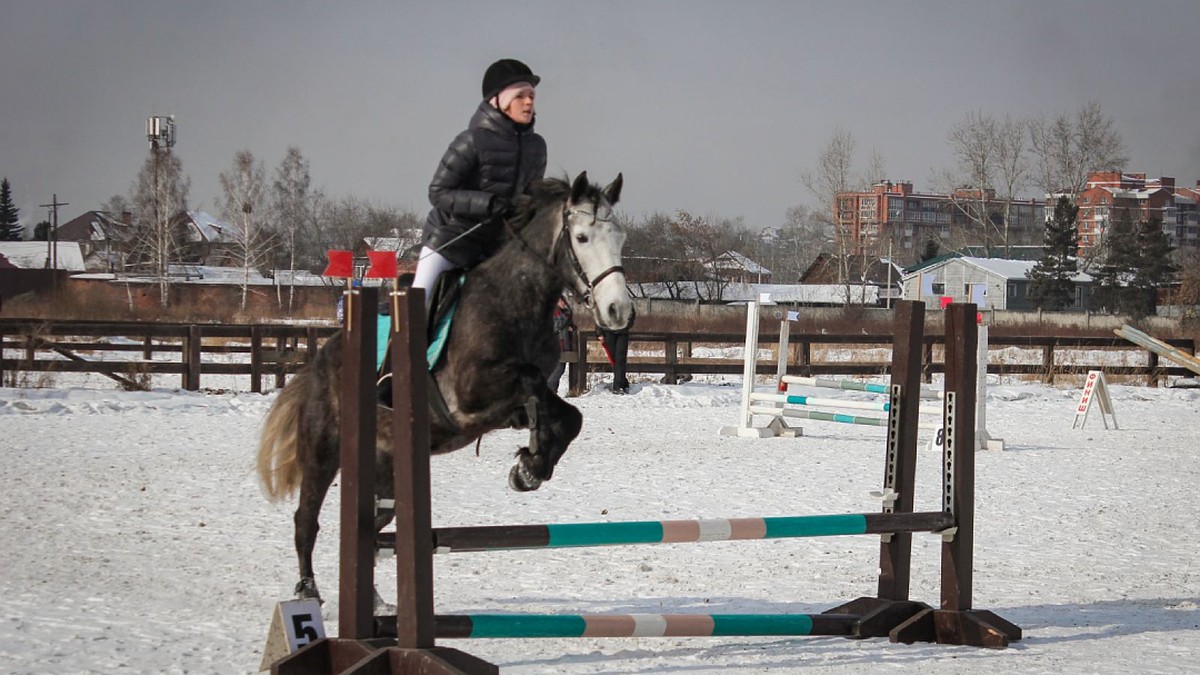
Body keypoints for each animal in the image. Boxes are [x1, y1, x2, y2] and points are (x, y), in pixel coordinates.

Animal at [256, 169, 633, 598]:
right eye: (582, 238)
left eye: (620, 239)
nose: (618, 311)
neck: (515, 299)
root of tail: (320, 360)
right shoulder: (473, 392)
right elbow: (532, 379)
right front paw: (531, 463)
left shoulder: (514, 401)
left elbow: (567, 415)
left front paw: (531, 465)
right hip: (323, 451)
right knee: (306, 519)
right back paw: (308, 591)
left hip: (386, 470)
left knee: (372, 525)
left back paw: (374, 599)